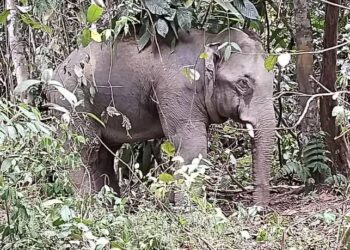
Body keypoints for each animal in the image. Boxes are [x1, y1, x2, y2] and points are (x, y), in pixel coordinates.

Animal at [47, 28, 274, 206]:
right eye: (243, 83)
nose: (257, 210)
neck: (210, 40)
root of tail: (55, 70)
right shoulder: (177, 90)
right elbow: (192, 145)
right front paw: (190, 212)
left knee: (102, 155)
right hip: (72, 101)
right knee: (84, 150)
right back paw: (89, 208)